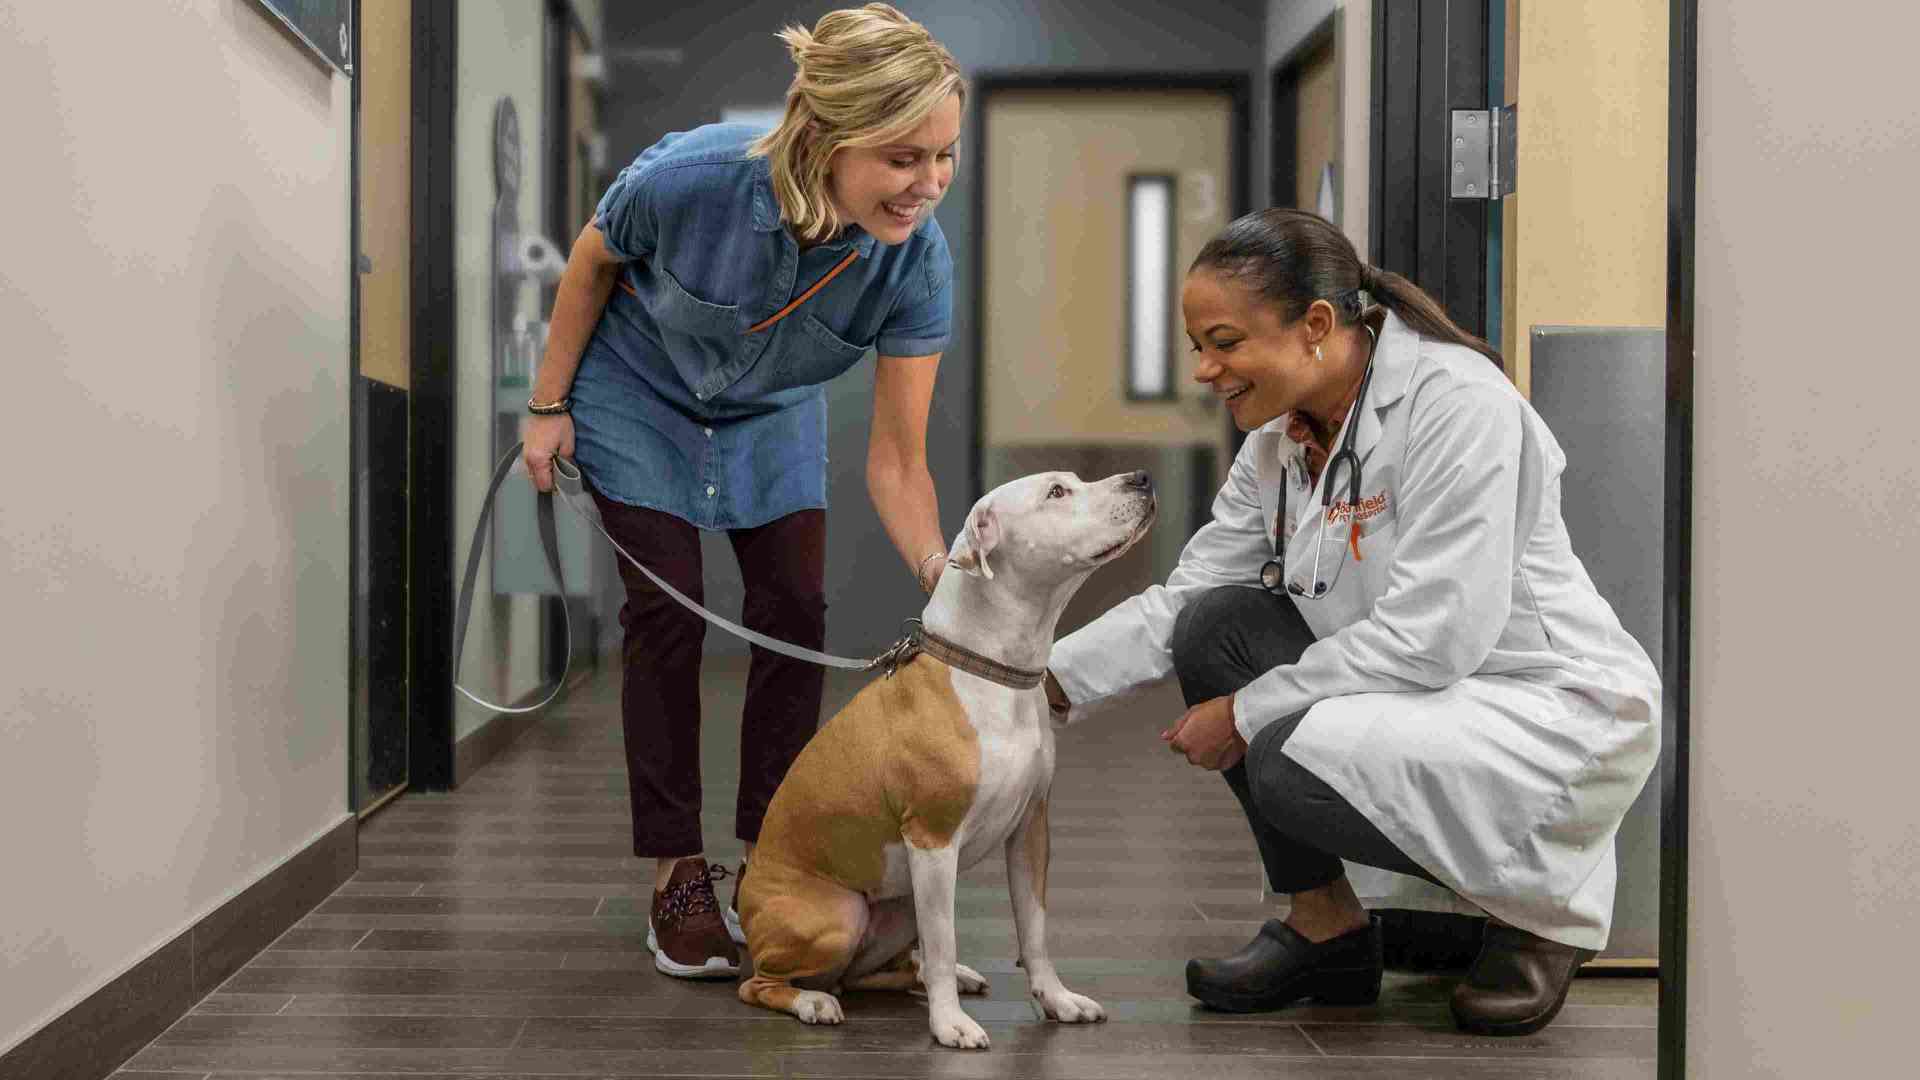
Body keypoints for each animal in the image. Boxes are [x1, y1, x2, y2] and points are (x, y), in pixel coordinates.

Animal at [733, 466, 1152, 1045]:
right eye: (1056, 492)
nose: (1141, 478)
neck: (992, 670)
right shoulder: (932, 842)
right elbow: (944, 936)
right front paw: (950, 1024)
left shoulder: (1031, 829)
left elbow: (1035, 928)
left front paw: (1057, 999)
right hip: (839, 914)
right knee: (764, 984)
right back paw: (813, 1001)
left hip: (898, 910)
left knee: (870, 972)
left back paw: (944, 976)